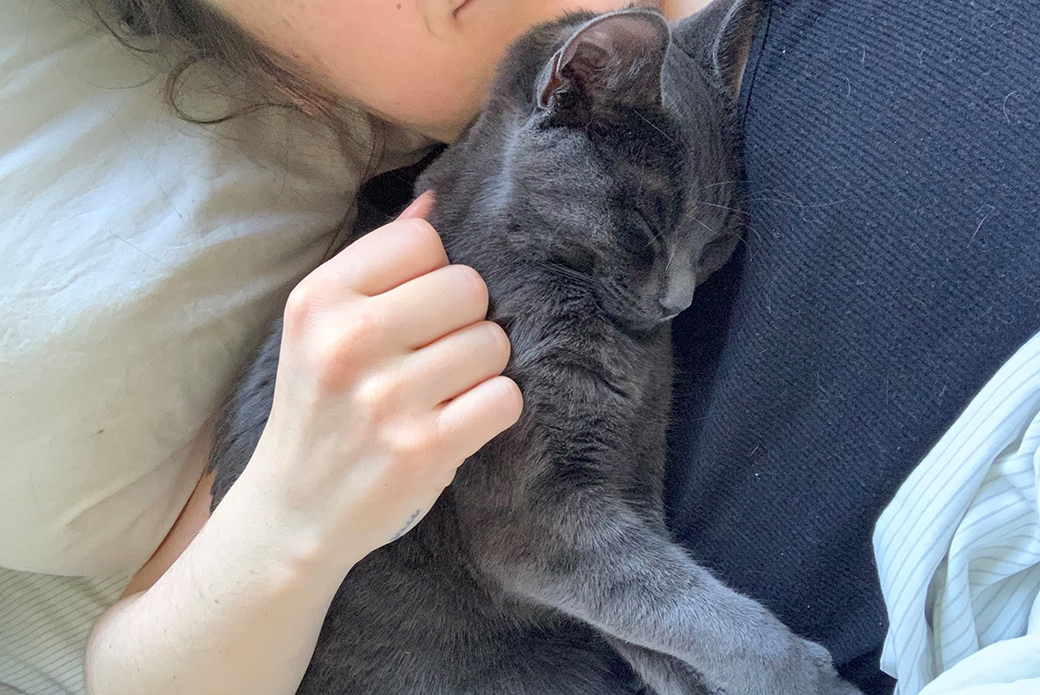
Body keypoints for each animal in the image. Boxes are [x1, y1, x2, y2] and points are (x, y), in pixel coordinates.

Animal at [206, 1, 865, 695]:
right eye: (647, 226)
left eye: (717, 243)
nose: (678, 304)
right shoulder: (540, 517)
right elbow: (680, 605)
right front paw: (800, 672)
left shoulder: (635, 486)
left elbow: (657, 613)